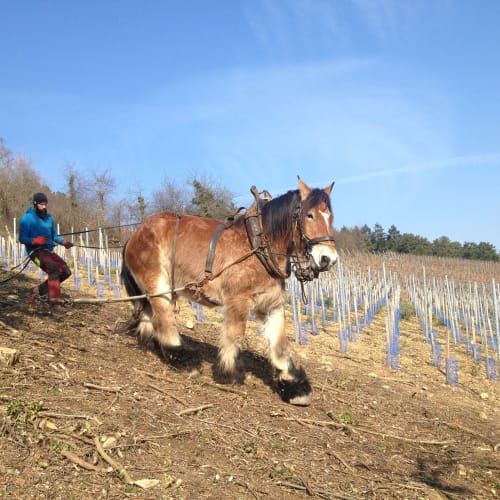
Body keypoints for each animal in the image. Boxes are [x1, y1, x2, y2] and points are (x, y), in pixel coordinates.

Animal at [121, 178, 338, 404]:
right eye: (309, 215)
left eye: (331, 217)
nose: (328, 259)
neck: (259, 246)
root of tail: (135, 234)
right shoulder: (238, 300)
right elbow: (234, 334)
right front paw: (229, 372)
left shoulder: (272, 304)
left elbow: (279, 342)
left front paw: (294, 385)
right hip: (158, 284)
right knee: (163, 318)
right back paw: (182, 357)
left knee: (149, 314)